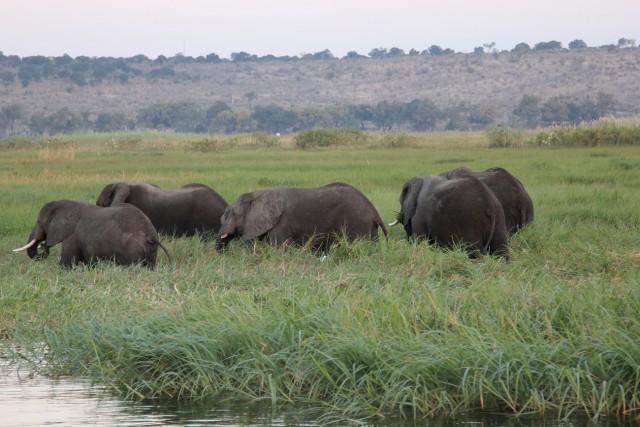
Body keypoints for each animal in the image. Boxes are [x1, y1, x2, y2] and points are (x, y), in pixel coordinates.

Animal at [15, 200, 170, 268]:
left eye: (39, 222)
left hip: (133, 246)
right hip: (150, 249)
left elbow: (66, 264)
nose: (43, 245)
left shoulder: (71, 236)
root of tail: (151, 233)